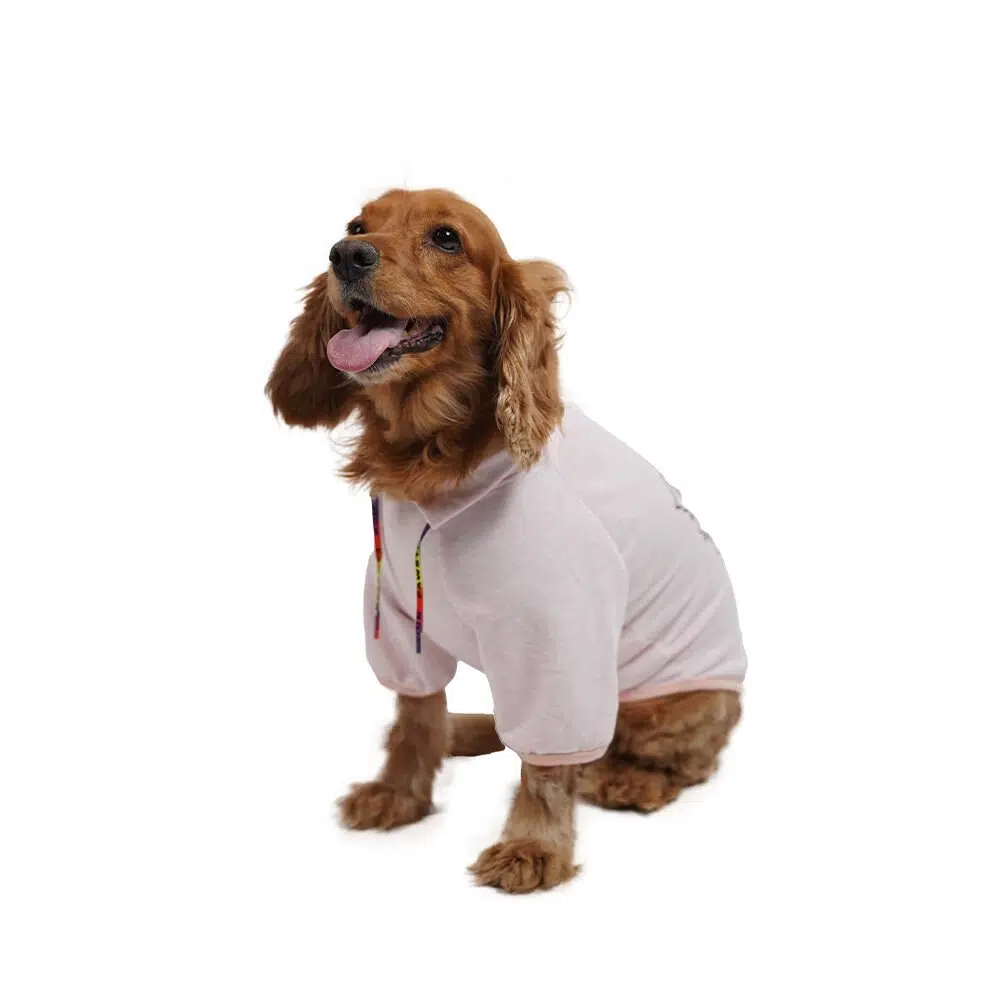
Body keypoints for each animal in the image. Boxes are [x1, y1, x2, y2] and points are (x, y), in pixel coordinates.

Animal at [266, 188, 746, 893]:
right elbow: (415, 717)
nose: (345, 255)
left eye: (446, 237)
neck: (433, 461)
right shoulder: (400, 620)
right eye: (357, 224)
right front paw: (398, 794)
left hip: (674, 704)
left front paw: (532, 848)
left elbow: (545, 765)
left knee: (680, 761)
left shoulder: (554, 638)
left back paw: (627, 779)